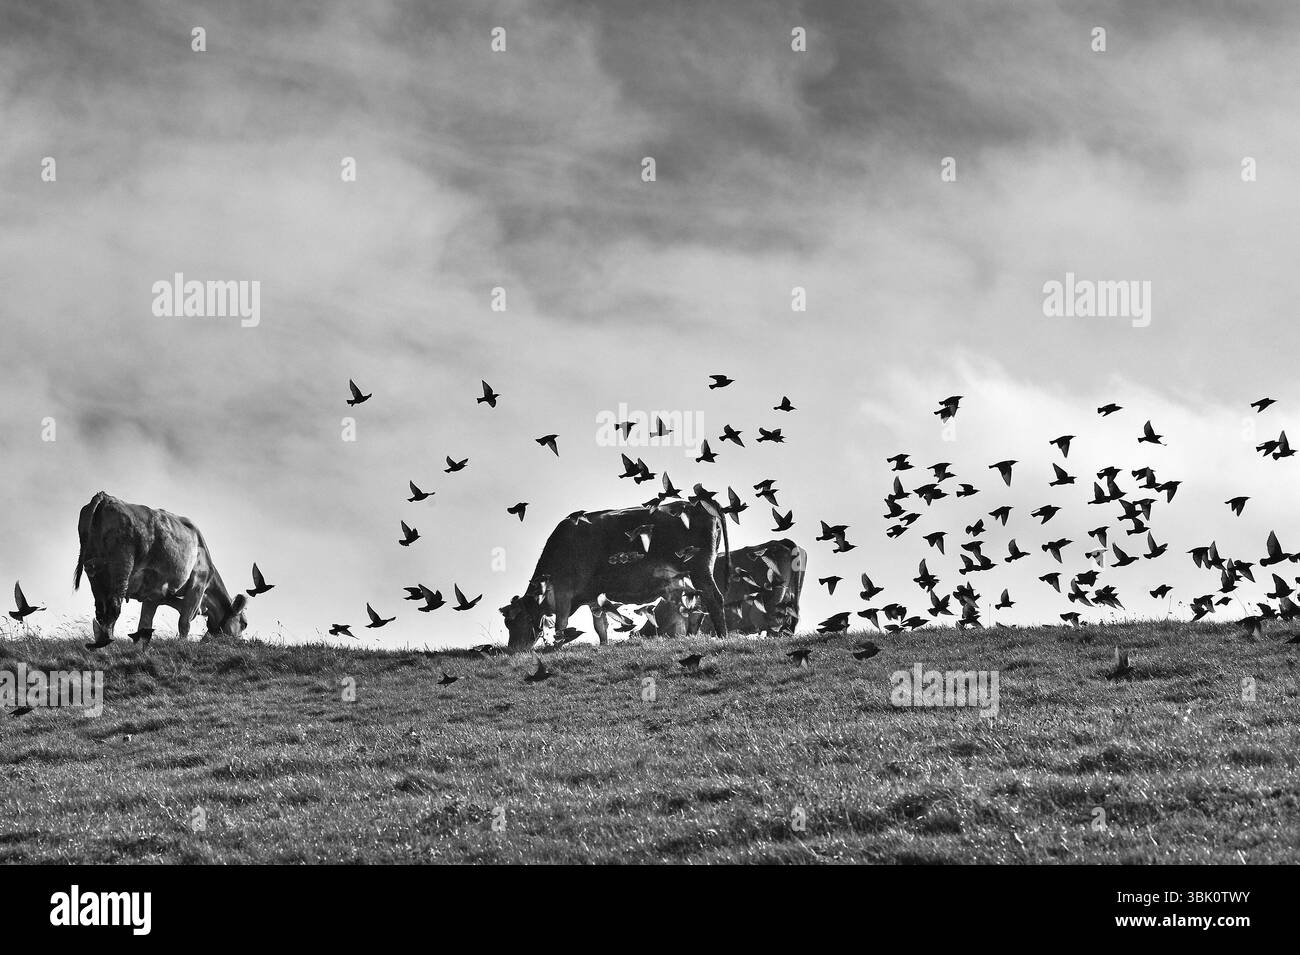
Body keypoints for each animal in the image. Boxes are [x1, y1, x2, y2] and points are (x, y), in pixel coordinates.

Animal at [73, 491, 249, 649]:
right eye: (244, 623)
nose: (241, 642)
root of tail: (106, 497)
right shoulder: (198, 584)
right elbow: (184, 620)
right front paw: (182, 644)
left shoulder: (154, 594)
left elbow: (145, 623)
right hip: (121, 566)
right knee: (113, 607)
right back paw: (108, 642)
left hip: (95, 570)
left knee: (101, 609)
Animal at [500, 499, 729, 652]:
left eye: (514, 620)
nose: (513, 650)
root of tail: (699, 502)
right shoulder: (593, 596)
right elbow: (600, 625)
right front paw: (603, 645)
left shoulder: (564, 593)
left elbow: (561, 624)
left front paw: (555, 648)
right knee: (696, 605)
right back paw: (691, 637)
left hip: (700, 569)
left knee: (714, 599)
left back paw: (723, 636)